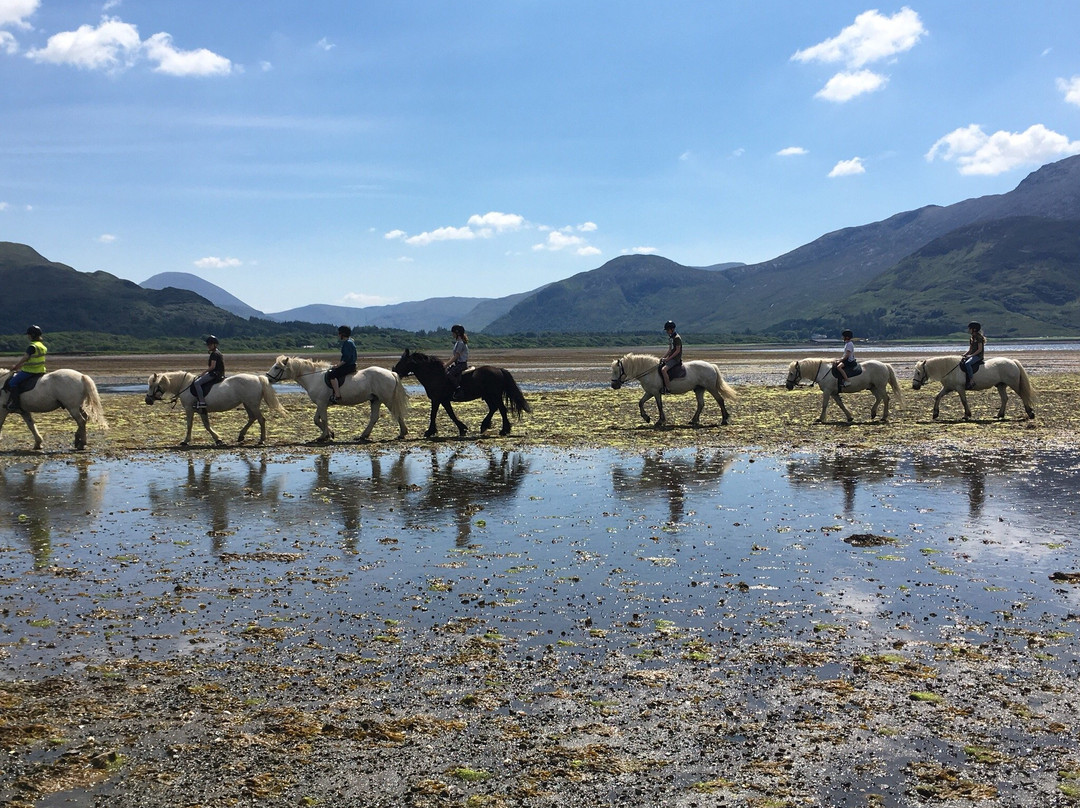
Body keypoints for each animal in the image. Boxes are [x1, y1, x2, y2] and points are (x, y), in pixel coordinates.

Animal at [145, 371, 287, 447]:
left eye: (152, 385)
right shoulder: (202, 411)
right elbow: (207, 425)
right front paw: (218, 439)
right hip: (247, 404)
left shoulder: (189, 409)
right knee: (252, 418)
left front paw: (185, 441)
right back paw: (241, 436)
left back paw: (261, 440)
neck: (184, 385)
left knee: (261, 420)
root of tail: (257, 378)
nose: (147, 400)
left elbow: (190, 425)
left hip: (252, 404)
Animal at [266, 354, 408, 442]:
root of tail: (391, 373)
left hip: (387, 399)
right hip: (375, 399)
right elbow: (316, 420)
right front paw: (330, 433)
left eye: (277, 367)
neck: (313, 377)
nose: (267, 378)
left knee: (397, 413)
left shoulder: (322, 403)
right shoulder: (321, 403)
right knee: (374, 417)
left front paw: (324, 436)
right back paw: (363, 435)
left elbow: (323, 419)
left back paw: (402, 433)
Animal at [395, 347, 533, 436]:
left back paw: (503, 430)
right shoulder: (444, 400)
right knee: (493, 408)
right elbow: (451, 414)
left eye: (403, 361)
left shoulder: (437, 399)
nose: (394, 370)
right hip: (488, 396)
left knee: (502, 409)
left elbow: (434, 414)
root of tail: (499, 370)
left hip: (495, 395)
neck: (435, 375)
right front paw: (462, 429)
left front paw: (429, 432)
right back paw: (484, 426)